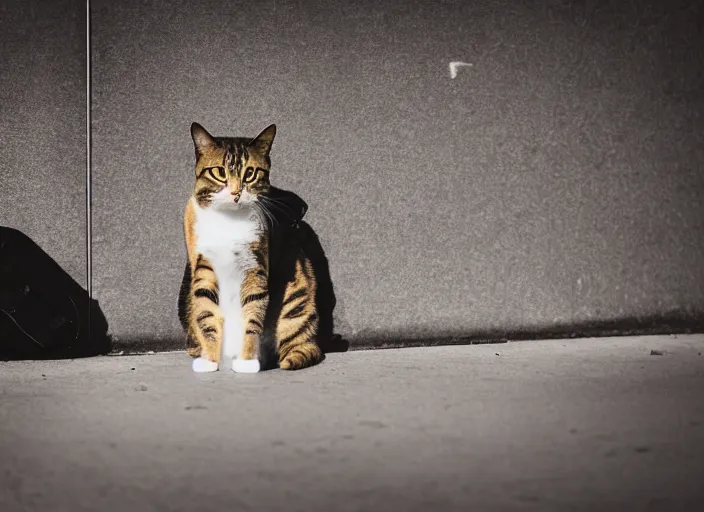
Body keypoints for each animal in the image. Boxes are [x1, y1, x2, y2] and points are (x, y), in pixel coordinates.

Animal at [177, 122, 334, 374]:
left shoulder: (255, 266)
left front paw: (247, 362)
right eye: (219, 172)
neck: (229, 221)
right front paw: (209, 360)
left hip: (296, 300)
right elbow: (206, 313)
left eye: (250, 173)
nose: (236, 192)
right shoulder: (203, 266)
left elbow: (252, 316)